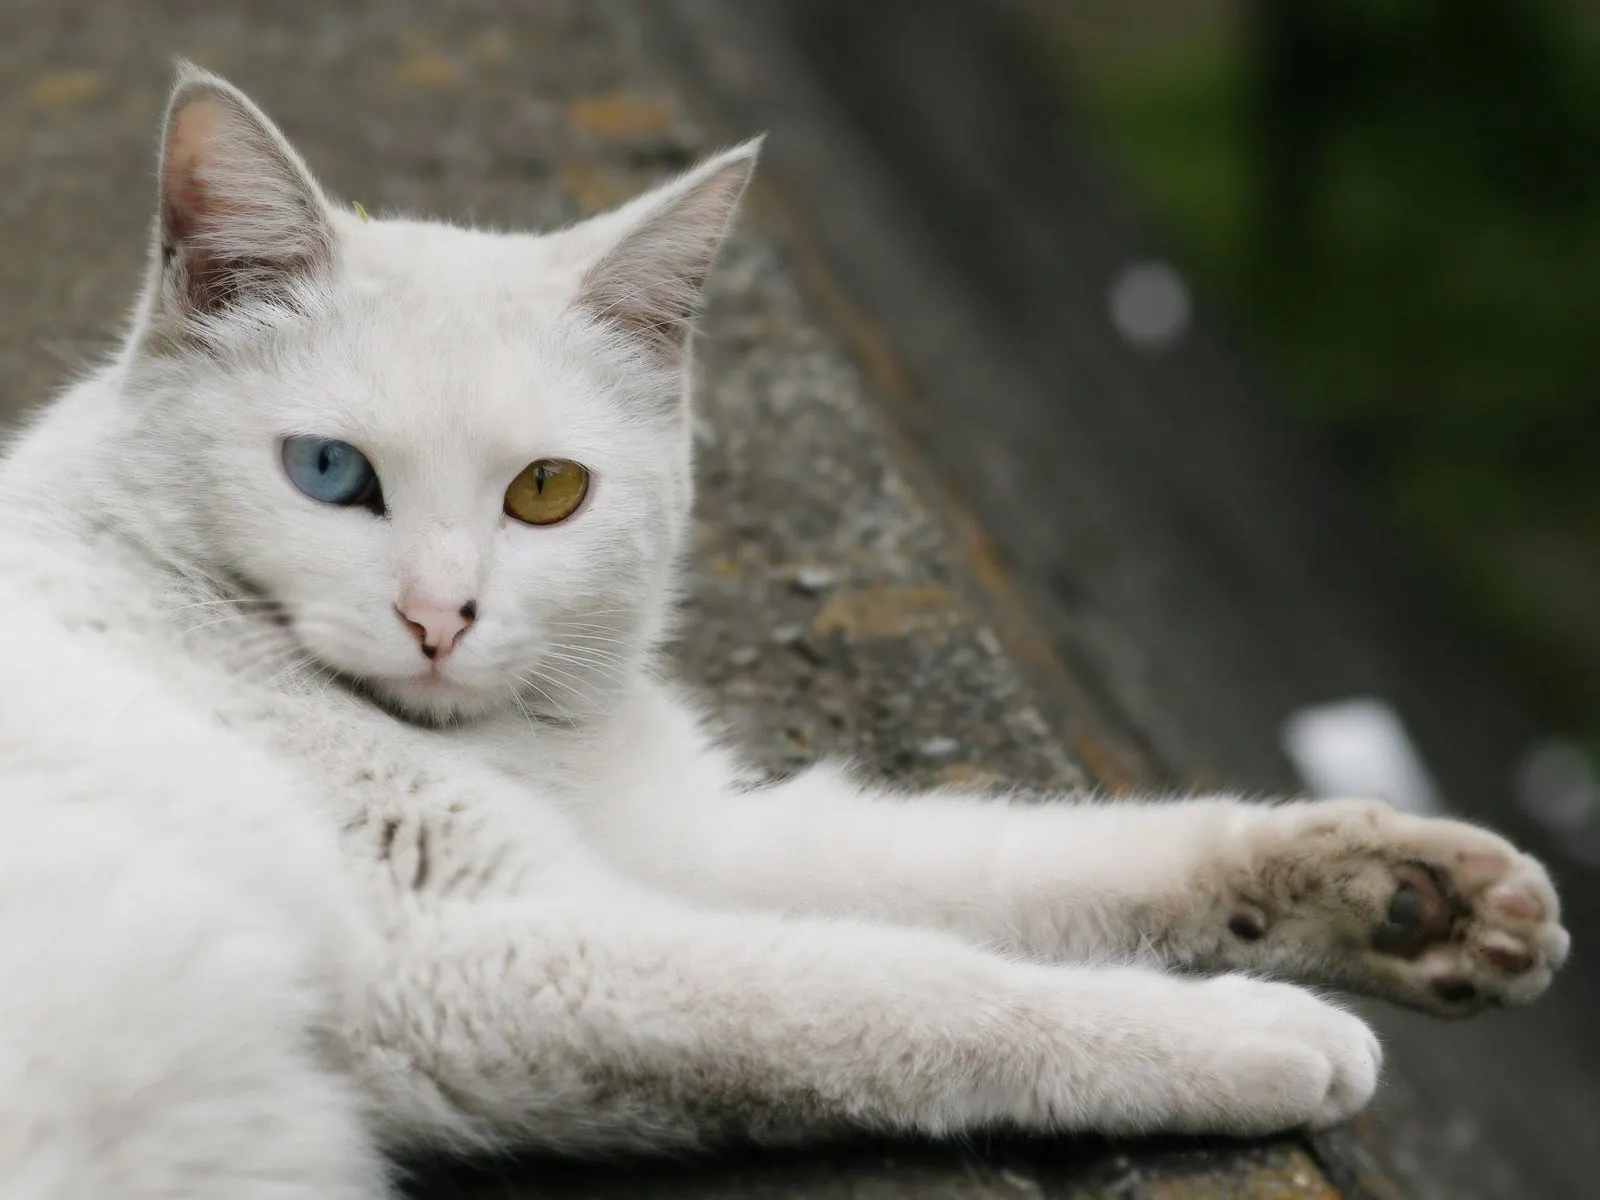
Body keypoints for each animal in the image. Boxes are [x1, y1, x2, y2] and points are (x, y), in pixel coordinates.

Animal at [0, 68, 1574, 1200]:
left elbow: (1014, 862)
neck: (525, 750)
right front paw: (1251, 1031)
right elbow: (900, 985)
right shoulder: (487, 951)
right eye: (330, 473)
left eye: (546, 492)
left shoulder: (688, 840)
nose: (438, 619)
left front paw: (1407, 898)